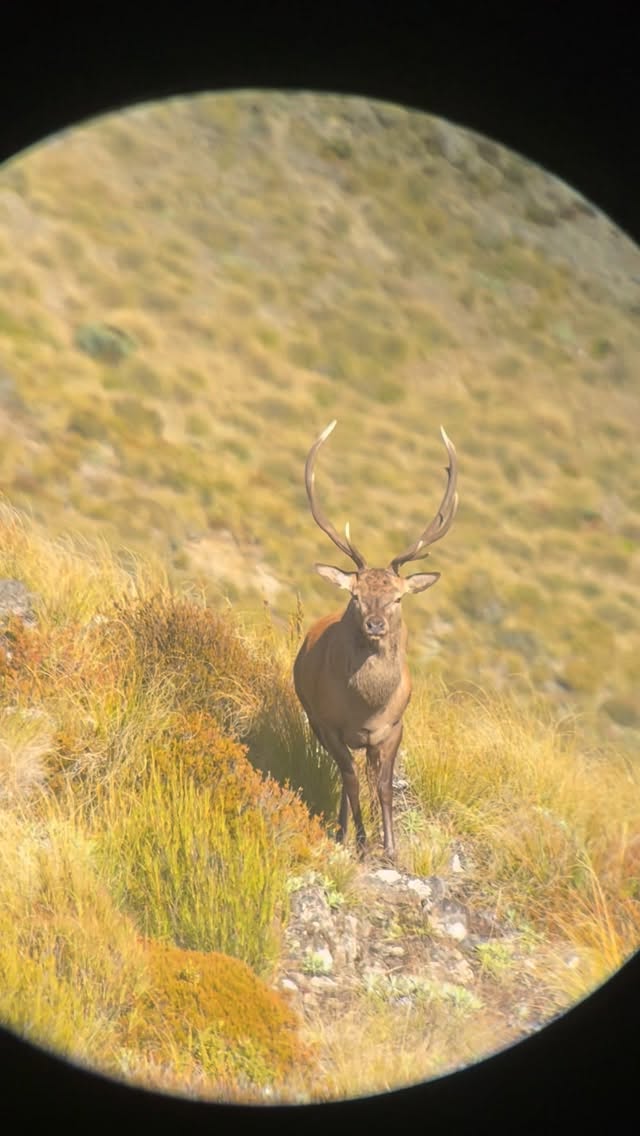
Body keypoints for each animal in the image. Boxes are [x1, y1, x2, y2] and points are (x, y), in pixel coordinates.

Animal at [293, 420, 458, 861]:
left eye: (398, 597)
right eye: (355, 594)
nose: (375, 624)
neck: (365, 707)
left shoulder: (393, 726)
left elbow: (382, 786)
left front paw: (391, 847)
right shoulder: (328, 723)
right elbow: (349, 780)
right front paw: (363, 843)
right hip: (314, 720)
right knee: (344, 775)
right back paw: (344, 831)